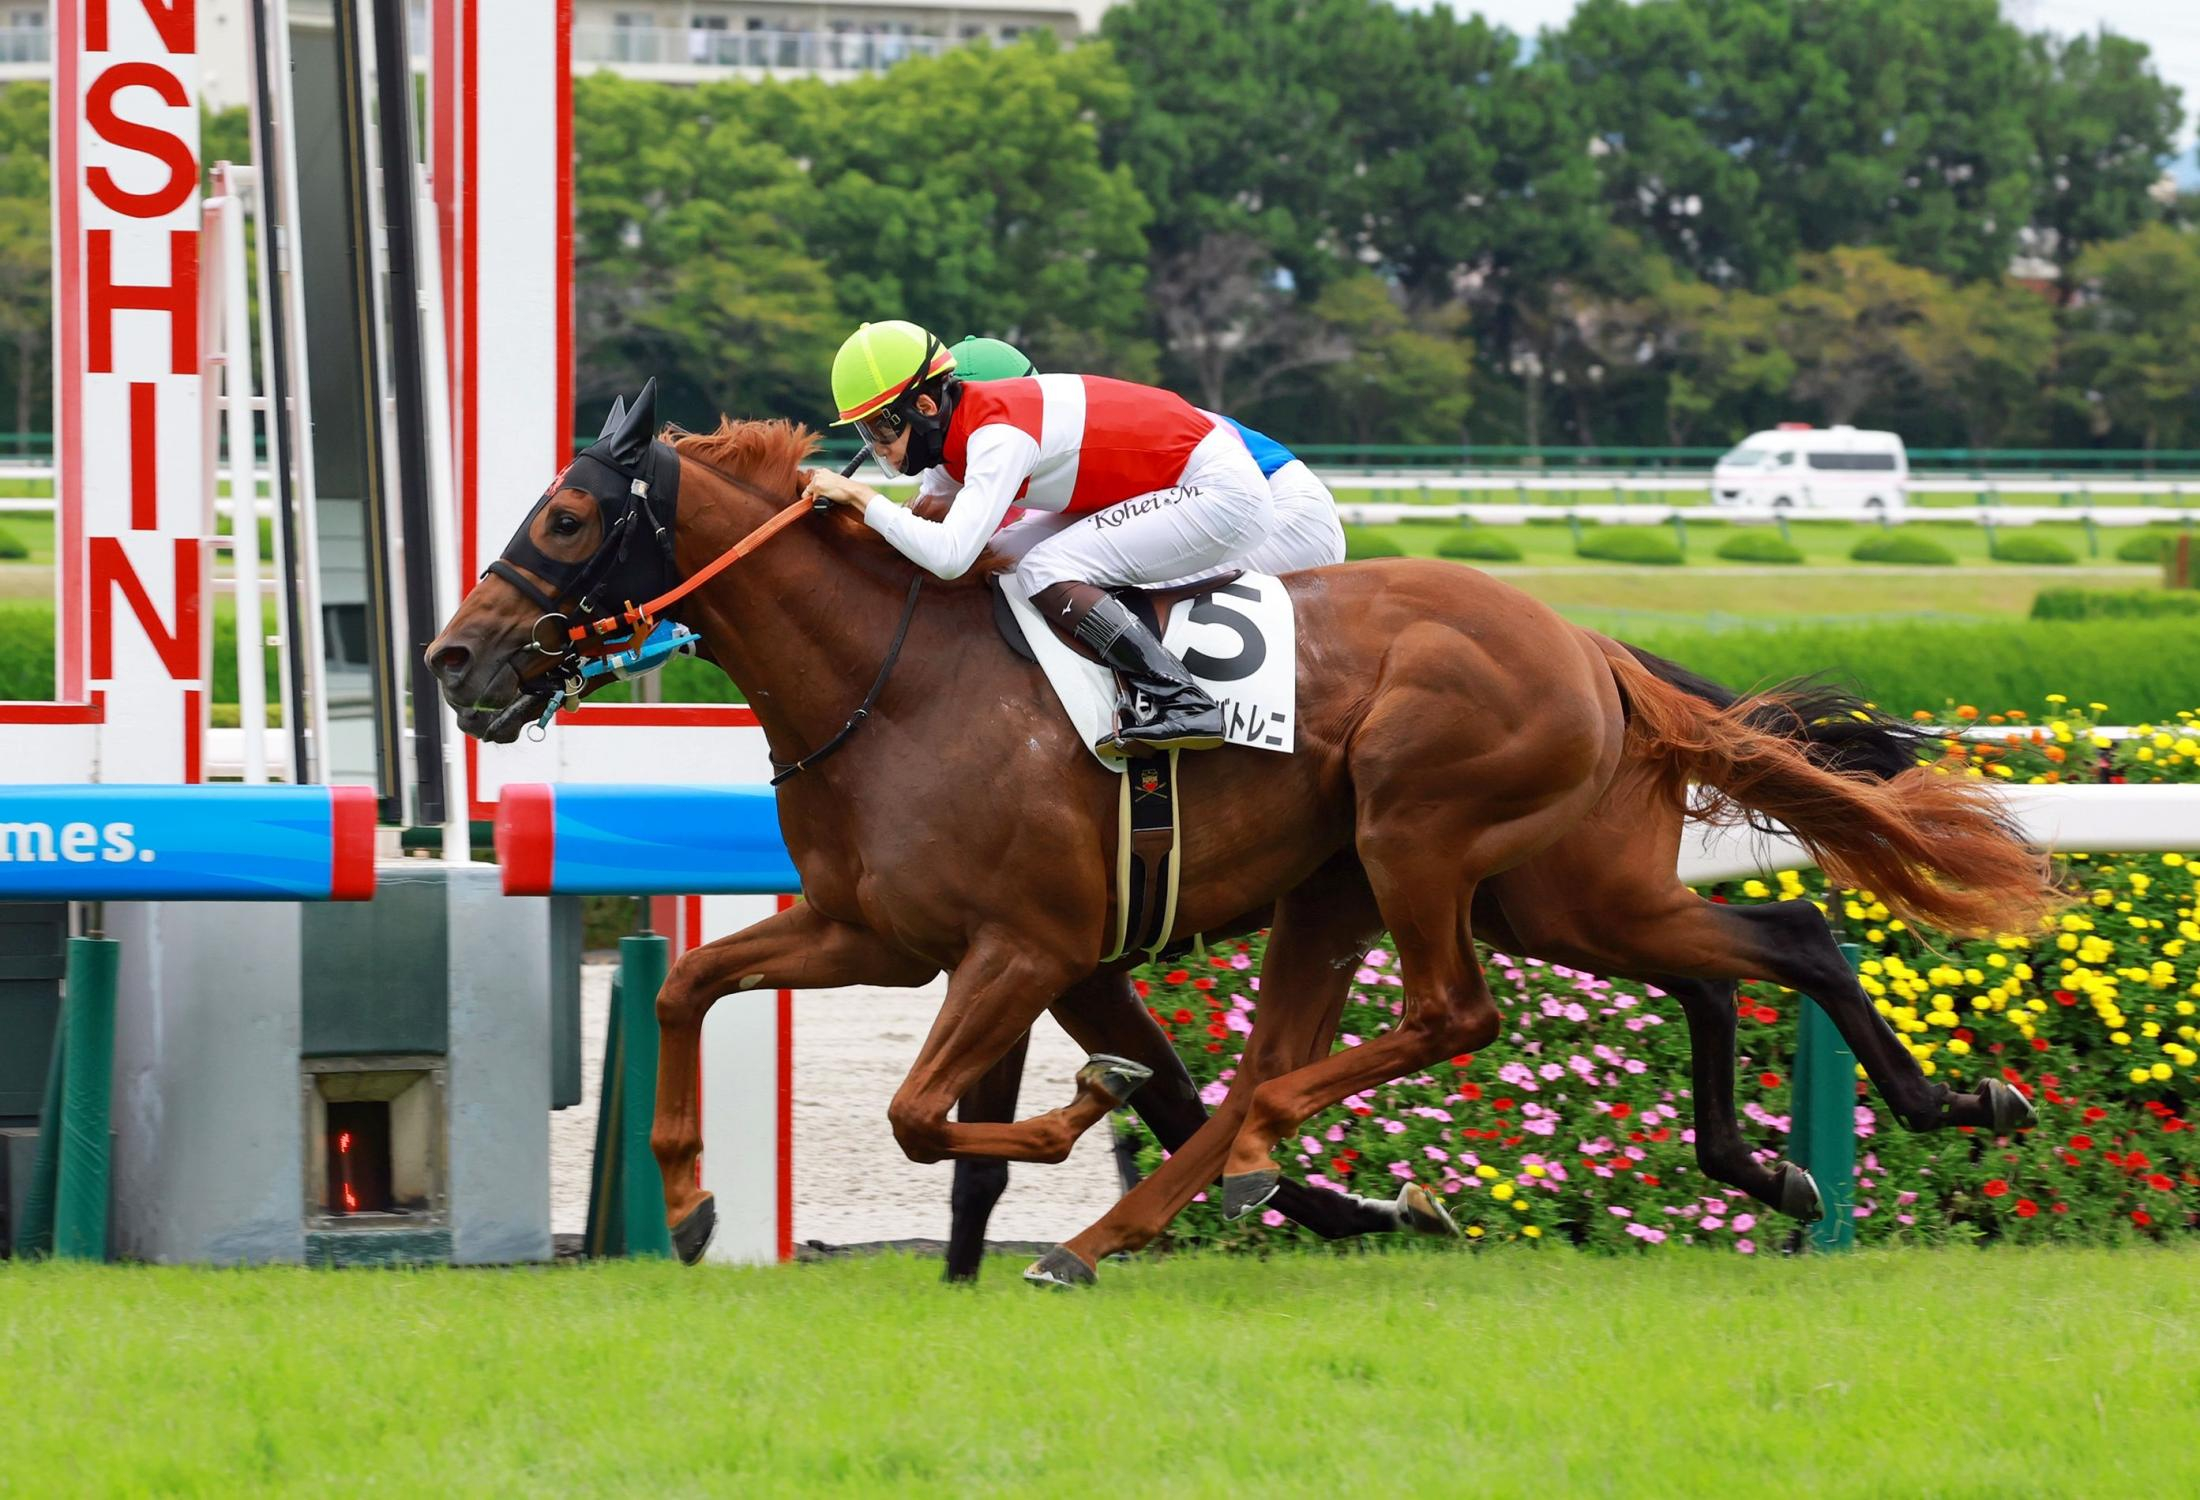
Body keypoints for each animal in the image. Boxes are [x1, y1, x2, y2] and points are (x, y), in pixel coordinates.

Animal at [427, 395, 2055, 1286]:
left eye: (566, 518)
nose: (454, 661)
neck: (896, 677)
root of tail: (1586, 643)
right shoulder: (883, 930)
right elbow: (698, 992)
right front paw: (693, 1202)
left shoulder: (1021, 946)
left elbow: (931, 1111)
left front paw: (1082, 1130)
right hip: (1545, 887)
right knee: (1769, 942)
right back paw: (1885, 1128)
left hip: (1422, 837)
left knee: (1452, 1017)